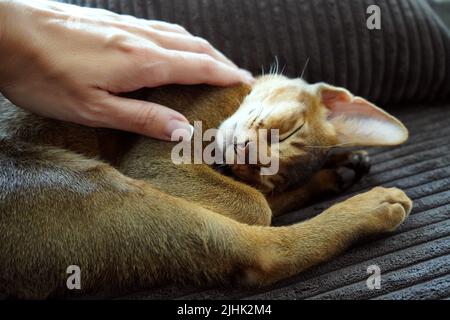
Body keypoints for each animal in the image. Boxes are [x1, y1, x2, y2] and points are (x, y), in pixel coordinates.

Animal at [0, 74, 412, 298]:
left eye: (266, 174)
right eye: (289, 130)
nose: (248, 158)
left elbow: (261, 200)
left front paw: (335, 168)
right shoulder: (157, 162)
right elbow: (257, 206)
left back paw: (345, 175)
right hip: (89, 185)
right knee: (264, 253)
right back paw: (370, 204)